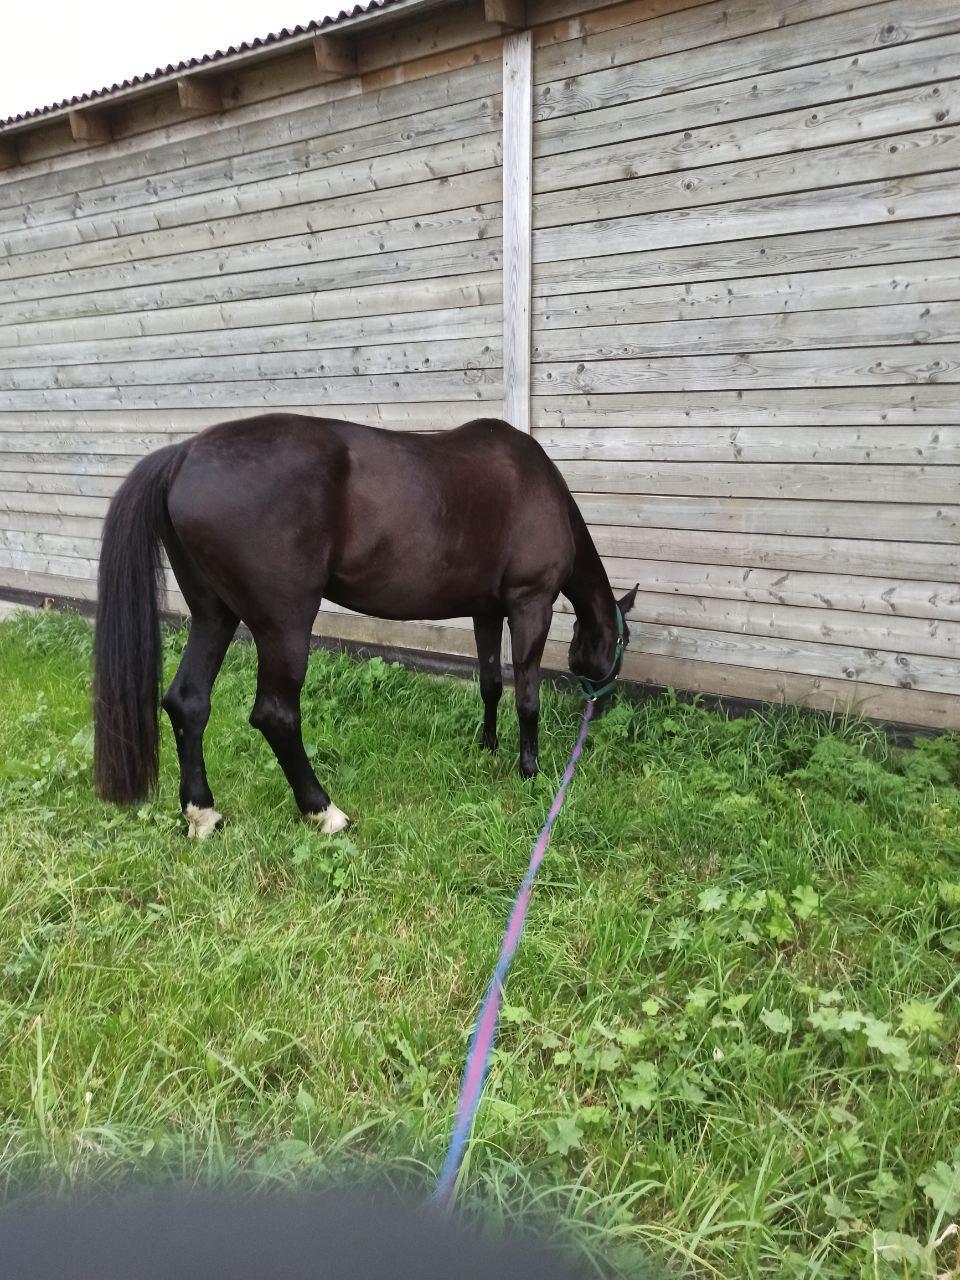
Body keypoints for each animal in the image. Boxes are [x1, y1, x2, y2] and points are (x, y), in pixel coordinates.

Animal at [92, 419, 640, 834]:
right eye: (623, 640)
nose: (603, 706)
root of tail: (183, 454)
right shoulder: (531, 604)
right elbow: (527, 696)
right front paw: (529, 771)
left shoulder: (486, 611)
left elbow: (490, 684)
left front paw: (487, 746)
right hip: (284, 624)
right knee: (276, 715)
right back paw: (324, 812)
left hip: (214, 615)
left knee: (188, 702)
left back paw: (203, 814)